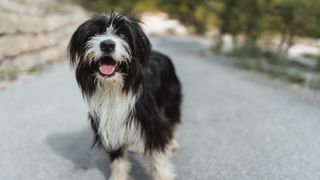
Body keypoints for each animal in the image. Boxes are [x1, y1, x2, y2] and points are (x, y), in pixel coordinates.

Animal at [67, 13, 182, 180]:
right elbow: (117, 159)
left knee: (171, 122)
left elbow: (158, 156)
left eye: (123, 35)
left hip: (170, 100)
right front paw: (118, 176)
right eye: (95, 33)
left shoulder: (151, 120)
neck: (114, 88)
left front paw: (162, 176)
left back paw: (171, 143)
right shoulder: (109, 124)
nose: (107, 45)